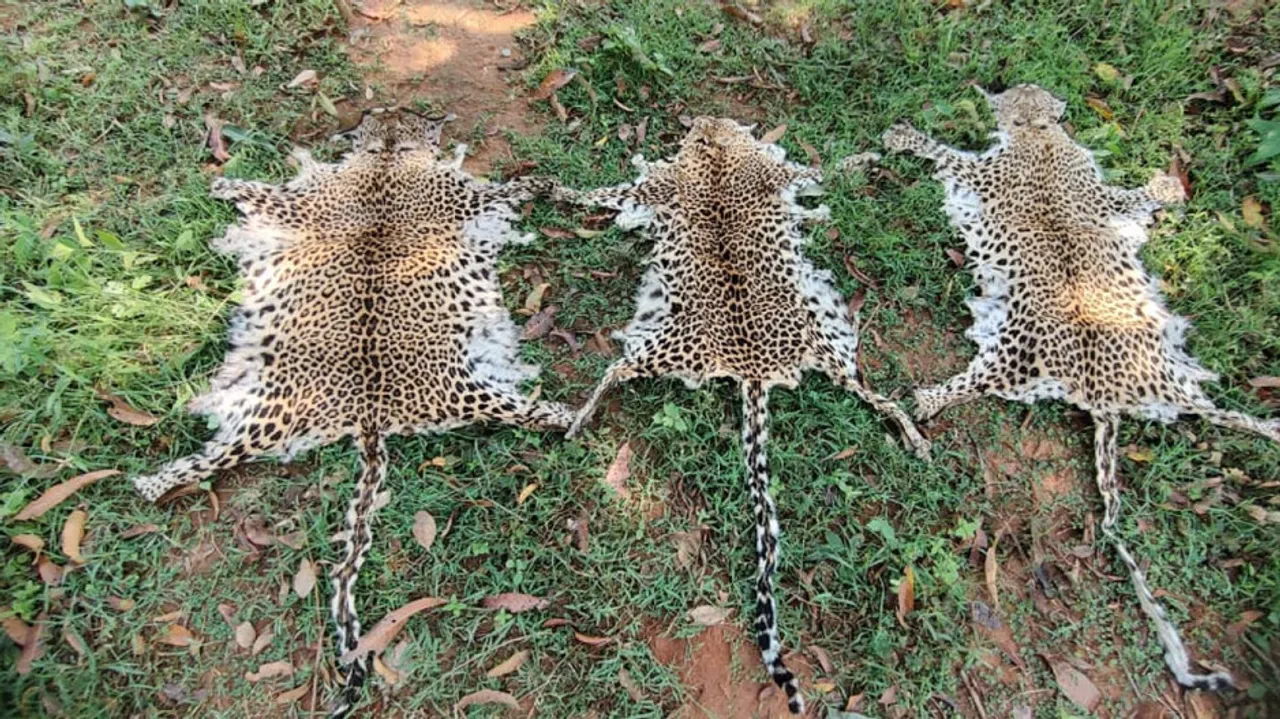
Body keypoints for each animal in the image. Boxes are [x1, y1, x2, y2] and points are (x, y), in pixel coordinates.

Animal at [129, 108, 573, 717]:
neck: (385, 158)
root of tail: (369, 414)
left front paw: (220, 182)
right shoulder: (457, 199)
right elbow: (515, 187)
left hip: (277, 413)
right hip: (424, 392)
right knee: (523, 414)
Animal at [558, 117, 932, 714]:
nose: (704, 121)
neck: (716, 153)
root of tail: (752, 366)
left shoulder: (663, 185)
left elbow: (604, 191)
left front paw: (556, 188)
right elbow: (823, 168)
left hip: (664, 342)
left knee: (613, 371)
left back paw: (573, 420)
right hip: (830, 348)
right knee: (883, 399)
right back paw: (916, 437)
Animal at [883, 83, 1280, 692]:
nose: (1029, 91)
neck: (1041, 136)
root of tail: (1105, 396)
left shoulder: (984, 173)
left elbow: (943, 152)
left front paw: (904, 136)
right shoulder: (1101, 197)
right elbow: (1133, 199)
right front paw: (1168, 187)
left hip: (1019, 346)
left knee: (976, 382)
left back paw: (927, 399)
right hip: (1164, 374)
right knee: (1219, 410)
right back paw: (1273, 425)